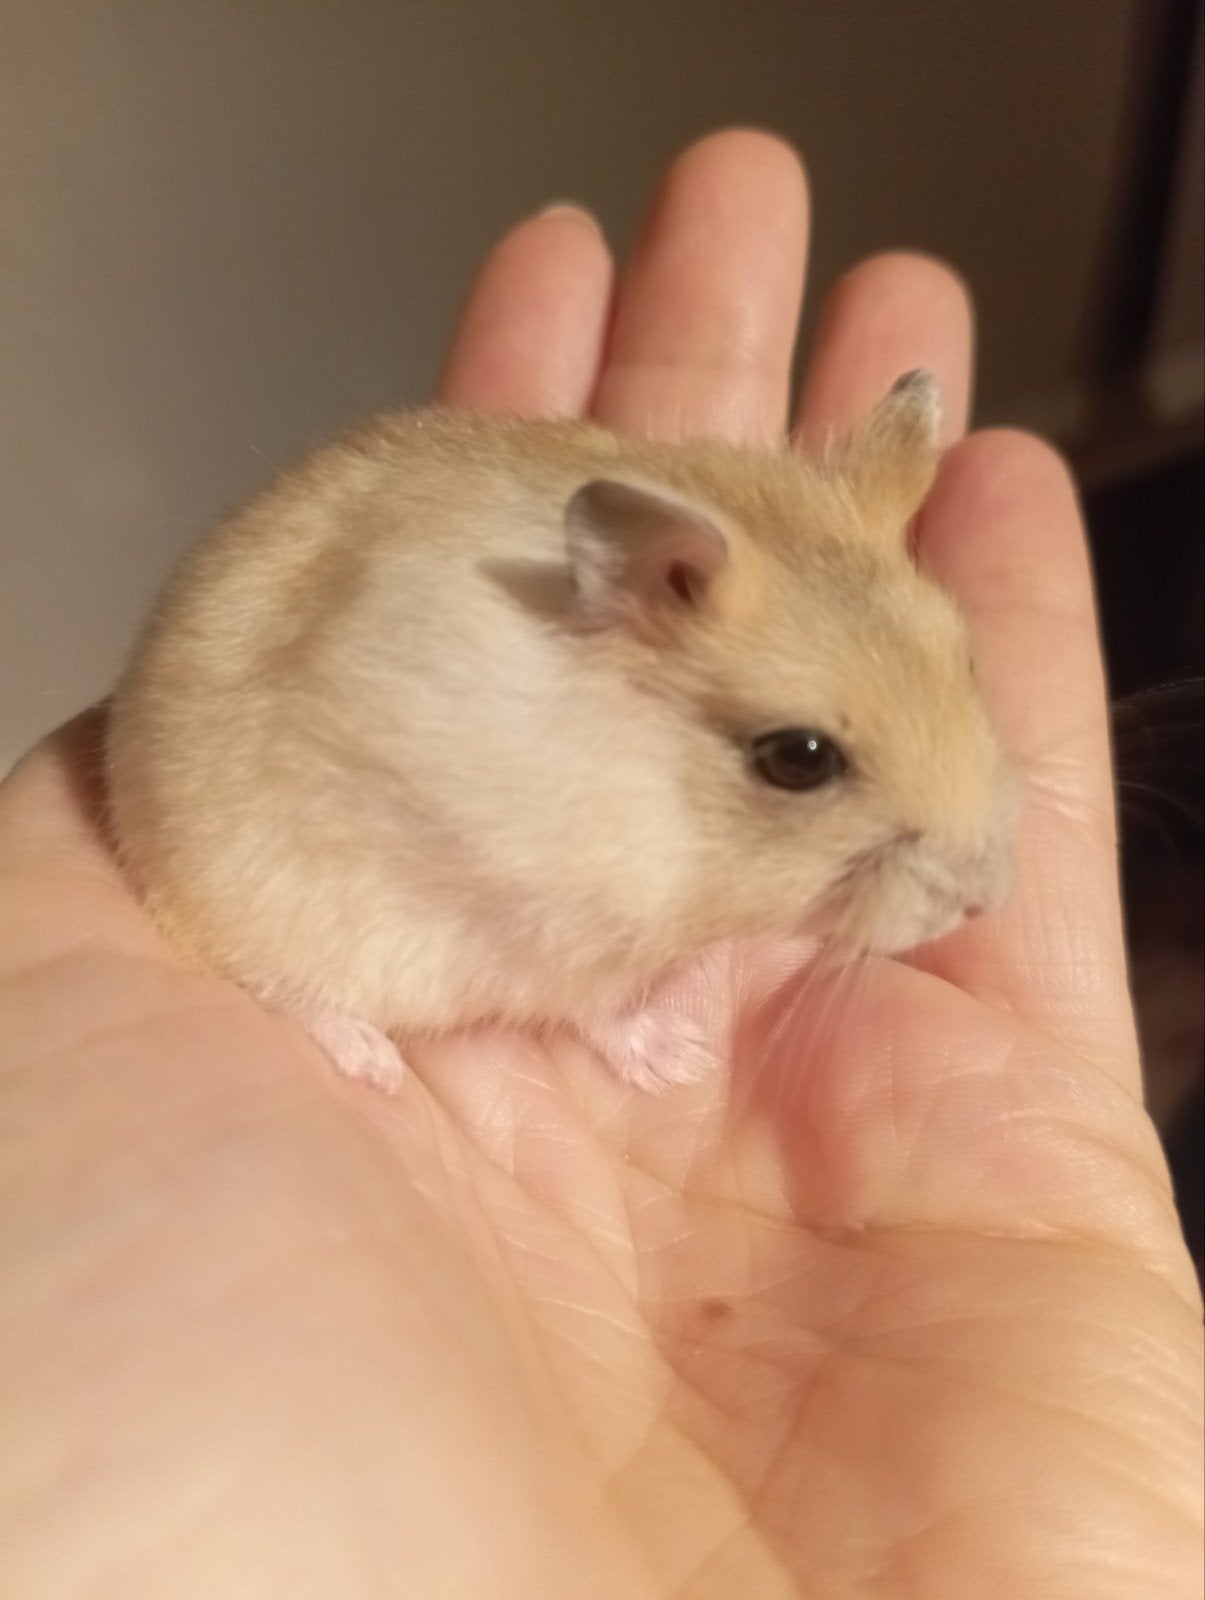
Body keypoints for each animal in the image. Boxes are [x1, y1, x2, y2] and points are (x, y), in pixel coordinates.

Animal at [105, 372, 1015, 1092]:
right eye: (799, 758)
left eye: (966, 661)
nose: (984, 903)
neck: (658, 799)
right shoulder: (558, 938)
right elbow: (601, 1013)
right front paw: (683, 1064)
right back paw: (375, 1066)